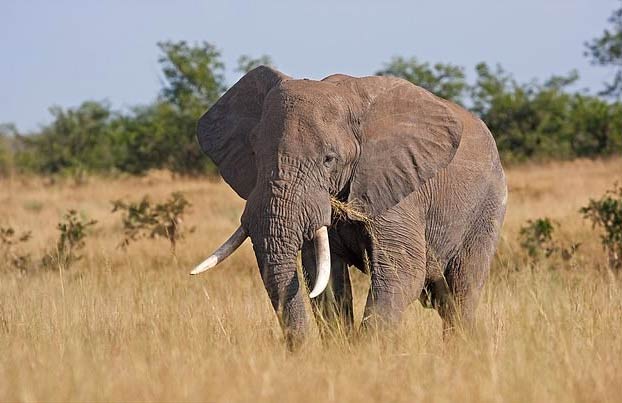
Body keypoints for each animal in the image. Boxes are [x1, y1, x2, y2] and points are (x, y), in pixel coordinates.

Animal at [193, 67, 510, 350]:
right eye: (256, 154)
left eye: (329, 159)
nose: (298, 351)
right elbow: (324, 277)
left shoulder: (398, 186)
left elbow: (402, 270)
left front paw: (367, 354)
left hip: (489, 204)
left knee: (461, 291)